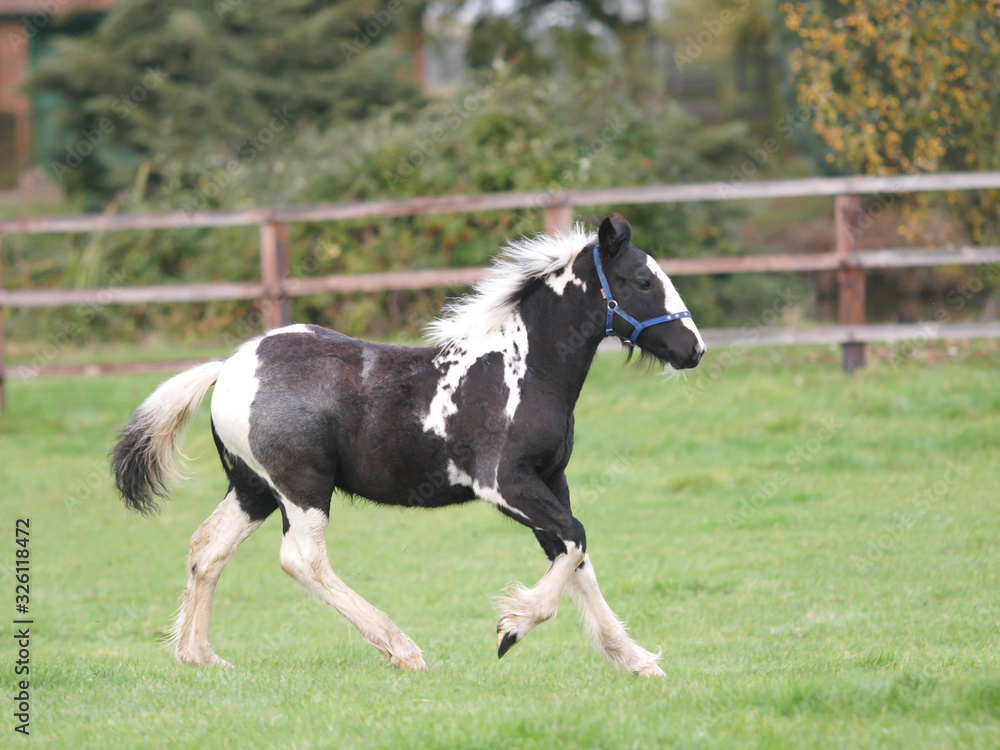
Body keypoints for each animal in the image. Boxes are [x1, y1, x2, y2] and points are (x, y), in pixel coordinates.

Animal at [113, 214, 704, 680]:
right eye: (641, 280)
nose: (693, 349)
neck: (521, 370)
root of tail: (228, 367)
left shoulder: (550, 482)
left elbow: (573, 554)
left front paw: (635, 661)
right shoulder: (504, 484)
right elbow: (576, 539)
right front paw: (510, 629)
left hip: (252, 489)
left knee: (207, 549)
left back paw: (199, 656)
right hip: (302, 486)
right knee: (302, 559)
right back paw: (402, 649)